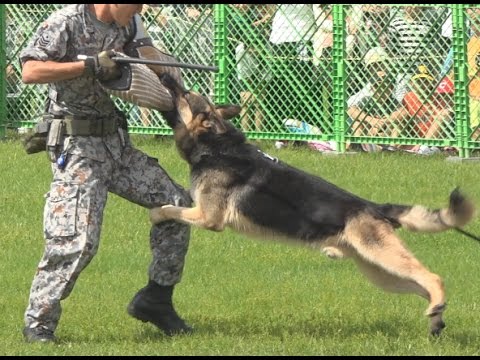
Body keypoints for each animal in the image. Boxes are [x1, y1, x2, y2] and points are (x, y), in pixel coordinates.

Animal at [152, 74, 474, 338]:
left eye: (184, 94)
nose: (166, 76)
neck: (217, 147)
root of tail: (372, 206)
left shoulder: (207, 217)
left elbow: (169, 208)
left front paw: (155, 214)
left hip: (384, 257)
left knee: (432, 277)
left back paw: (436, 307)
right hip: (381, 273)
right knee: (423, 288)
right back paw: (436, 317)